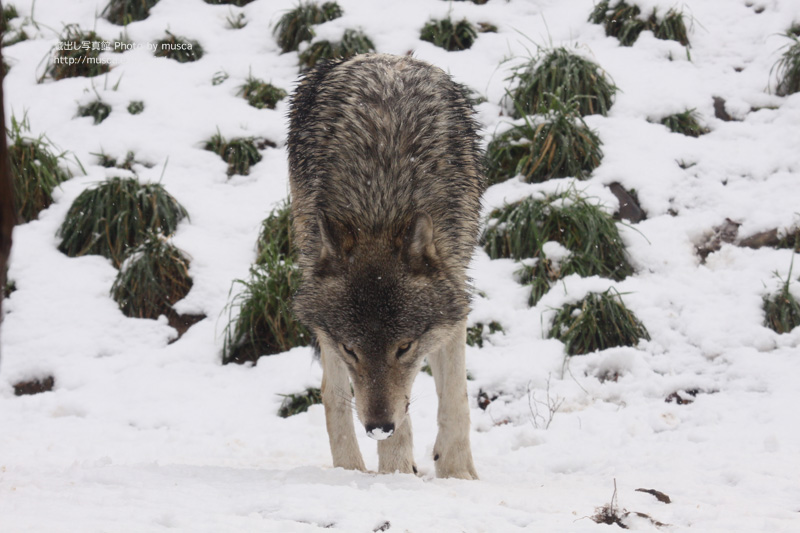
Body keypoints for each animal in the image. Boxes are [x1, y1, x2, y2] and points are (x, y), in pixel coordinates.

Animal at [290, 53, 484, 478]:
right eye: (352, 349)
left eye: (404, 346)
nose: (378, 426)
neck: (381, 205)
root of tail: (382, 57)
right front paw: (396, 475)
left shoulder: (454, 292)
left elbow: (456, 400)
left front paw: (458, 475)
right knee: (332, 393)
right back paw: (352, 470)